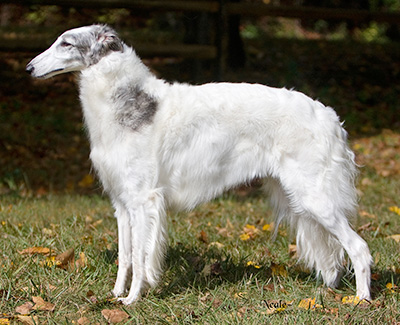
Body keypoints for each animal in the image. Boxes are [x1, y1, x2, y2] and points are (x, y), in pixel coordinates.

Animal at [27, 24, 372, 302]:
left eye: (66, 43)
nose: (29, 68)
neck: (129, 101)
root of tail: (329, 116)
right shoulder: (122, 204)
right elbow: (126, 257)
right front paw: (114, 295)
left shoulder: (143, 201)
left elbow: (140, 257)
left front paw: (132, 299)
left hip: (315, 197)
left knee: (359, 248)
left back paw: (361, 299)